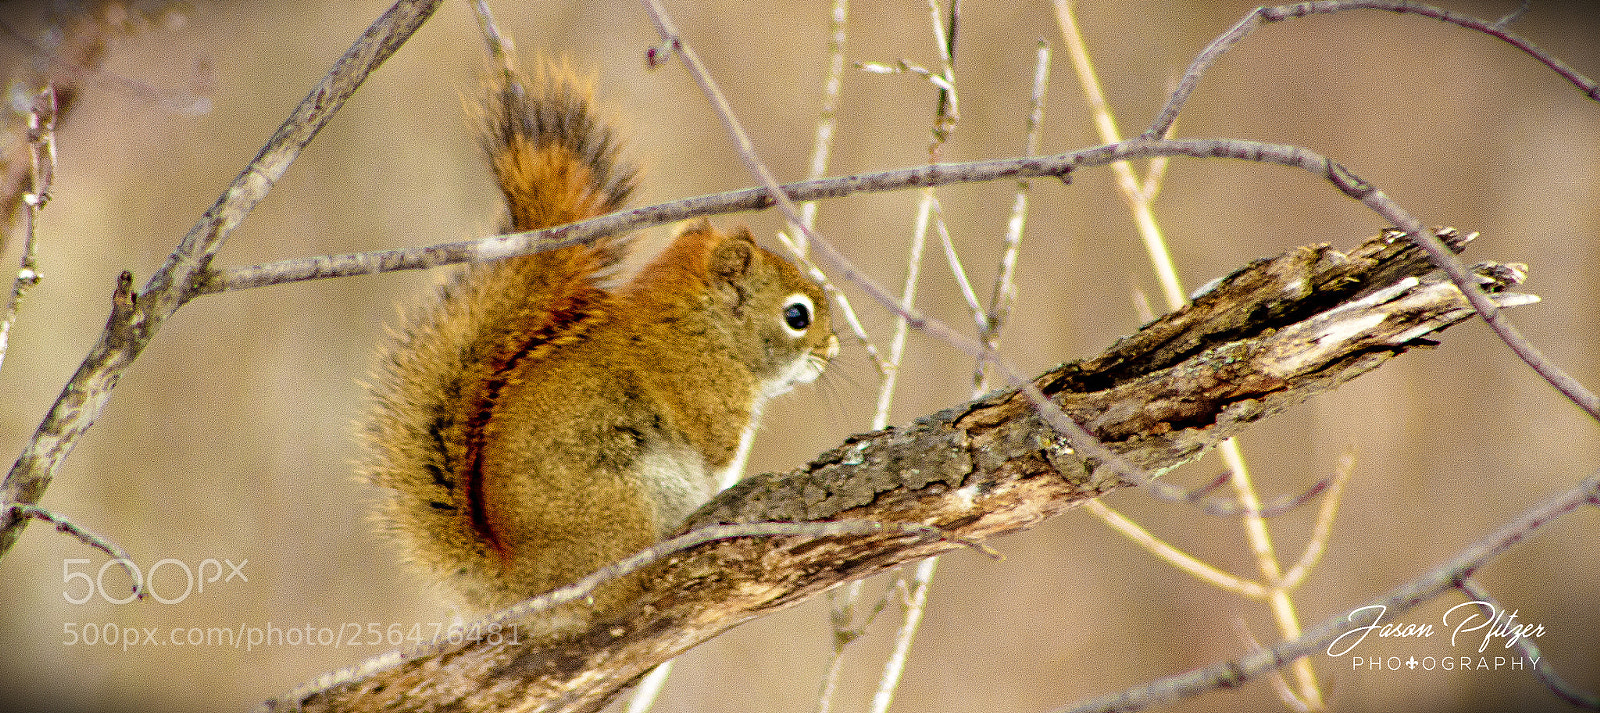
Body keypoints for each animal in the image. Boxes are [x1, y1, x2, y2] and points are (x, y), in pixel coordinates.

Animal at [362, 63, 839, 618]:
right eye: (797, 315)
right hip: (624, 504)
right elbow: (717, 447)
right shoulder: (706, 397)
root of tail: (526, 582)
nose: (832, 351)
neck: (705, 329)